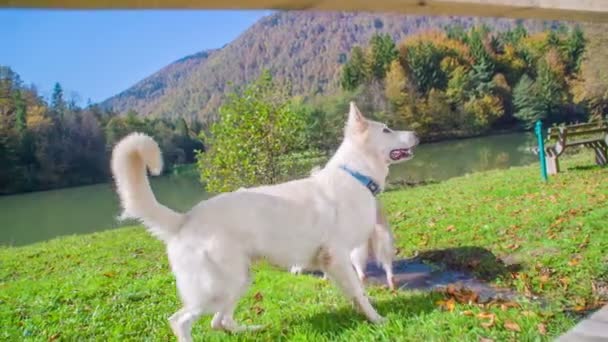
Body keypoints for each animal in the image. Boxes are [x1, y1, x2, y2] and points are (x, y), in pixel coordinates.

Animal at [110, 103, 418, 340]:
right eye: (387, 130)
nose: (415, 133)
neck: (355, 174)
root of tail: (184, 219)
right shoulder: (338, 257)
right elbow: (360, 293)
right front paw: (377, 320)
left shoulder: (339, 261)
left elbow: (356, 293)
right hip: (218, 287)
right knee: (180, 321)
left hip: (238, 281)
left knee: (219, 321)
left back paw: (253, 330)